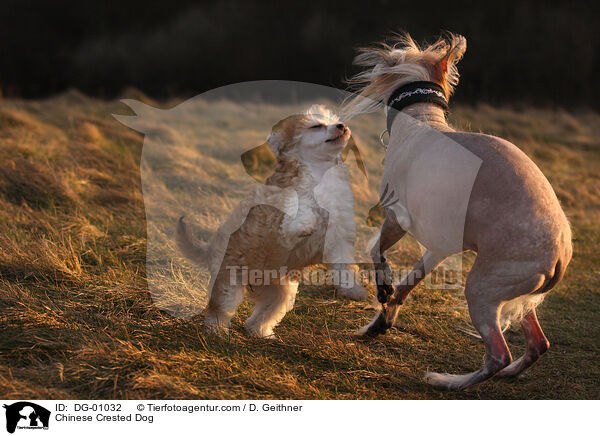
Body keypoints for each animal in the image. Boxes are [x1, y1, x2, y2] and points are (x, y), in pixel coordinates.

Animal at [176, 104, 366, 338]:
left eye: (333, 121)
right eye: (316, 126)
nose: (341, 126)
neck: (320, 174)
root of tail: (212, 248)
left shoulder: (339, 237)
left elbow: (344, 265)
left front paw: (354, 290)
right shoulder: (281, 220)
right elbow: (298, 214)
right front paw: (306, 224)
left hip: (279, 292)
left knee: (264, 313)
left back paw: (261, 332)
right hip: (228, 282)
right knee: (219, 309)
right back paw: (217, 332)